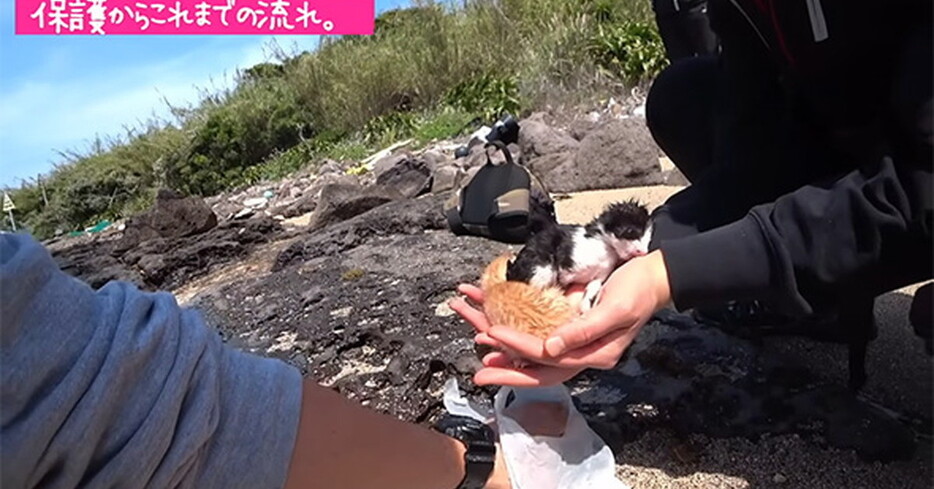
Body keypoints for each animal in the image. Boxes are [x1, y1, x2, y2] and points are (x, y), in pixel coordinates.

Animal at [508, 200, 656, 310]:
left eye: (649, 238)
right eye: (631, 232)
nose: (643, 252)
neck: (607, 248)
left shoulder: (600, 275)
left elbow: (591, 288)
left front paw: (585, 308)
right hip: (541, 269)